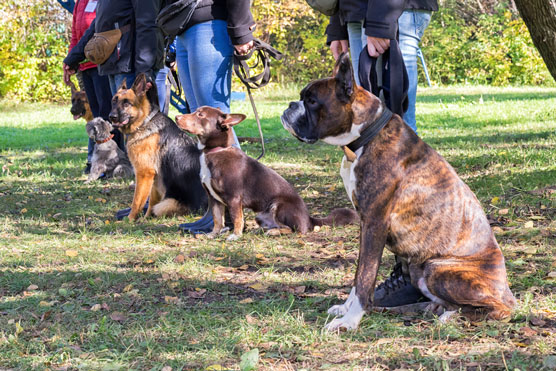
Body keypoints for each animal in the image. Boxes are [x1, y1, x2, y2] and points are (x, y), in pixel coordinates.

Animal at [107, 74, 206, 222]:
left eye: (126, 104)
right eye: (114, 101)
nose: (111, 117)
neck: (144, 122)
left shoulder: (144, 174)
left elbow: (137, 201)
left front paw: (130, 220)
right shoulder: (154, 178)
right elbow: (151, 201)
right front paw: (146, 218)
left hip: (167, 203)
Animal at [175, 107, 356, 241]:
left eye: (200, 115)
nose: (176, 116)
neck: (215, 151)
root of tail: (309, 218)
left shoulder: (234, 199)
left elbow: (237, 219)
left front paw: (235, 235)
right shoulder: (214, 199)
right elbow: (217, 219)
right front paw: (213, 234)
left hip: (278, 205)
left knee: (294, 230)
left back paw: (273, 232)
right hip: (261, 216)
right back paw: (263, 231)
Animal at [282, 53, 516, 332]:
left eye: (312, 101)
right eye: (302, 97)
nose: (290, 105)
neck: (365, 137)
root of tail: (507, 290)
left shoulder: (375, 224)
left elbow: (365, 277)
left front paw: (349, 321)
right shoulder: (364, 224)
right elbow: (358, 274)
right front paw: (346, 309)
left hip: (437, 268)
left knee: (498, 310)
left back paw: (451, 317)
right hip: (419, 271)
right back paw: (430, 309)